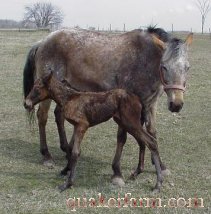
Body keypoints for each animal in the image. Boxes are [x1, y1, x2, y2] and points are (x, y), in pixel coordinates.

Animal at [24, 72, 163, 192]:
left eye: (37, 88)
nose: (26, 104)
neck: (69, 98)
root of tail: (138, 100)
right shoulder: (76, 126)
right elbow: (71, 148)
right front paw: (65, 170)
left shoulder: (82, 125)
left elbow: (75, 152)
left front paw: (68, 183)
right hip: (126, 123)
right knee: (142, 142)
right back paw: (137, 173)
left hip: (130, 122)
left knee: (151, 141)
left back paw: (158, 184)